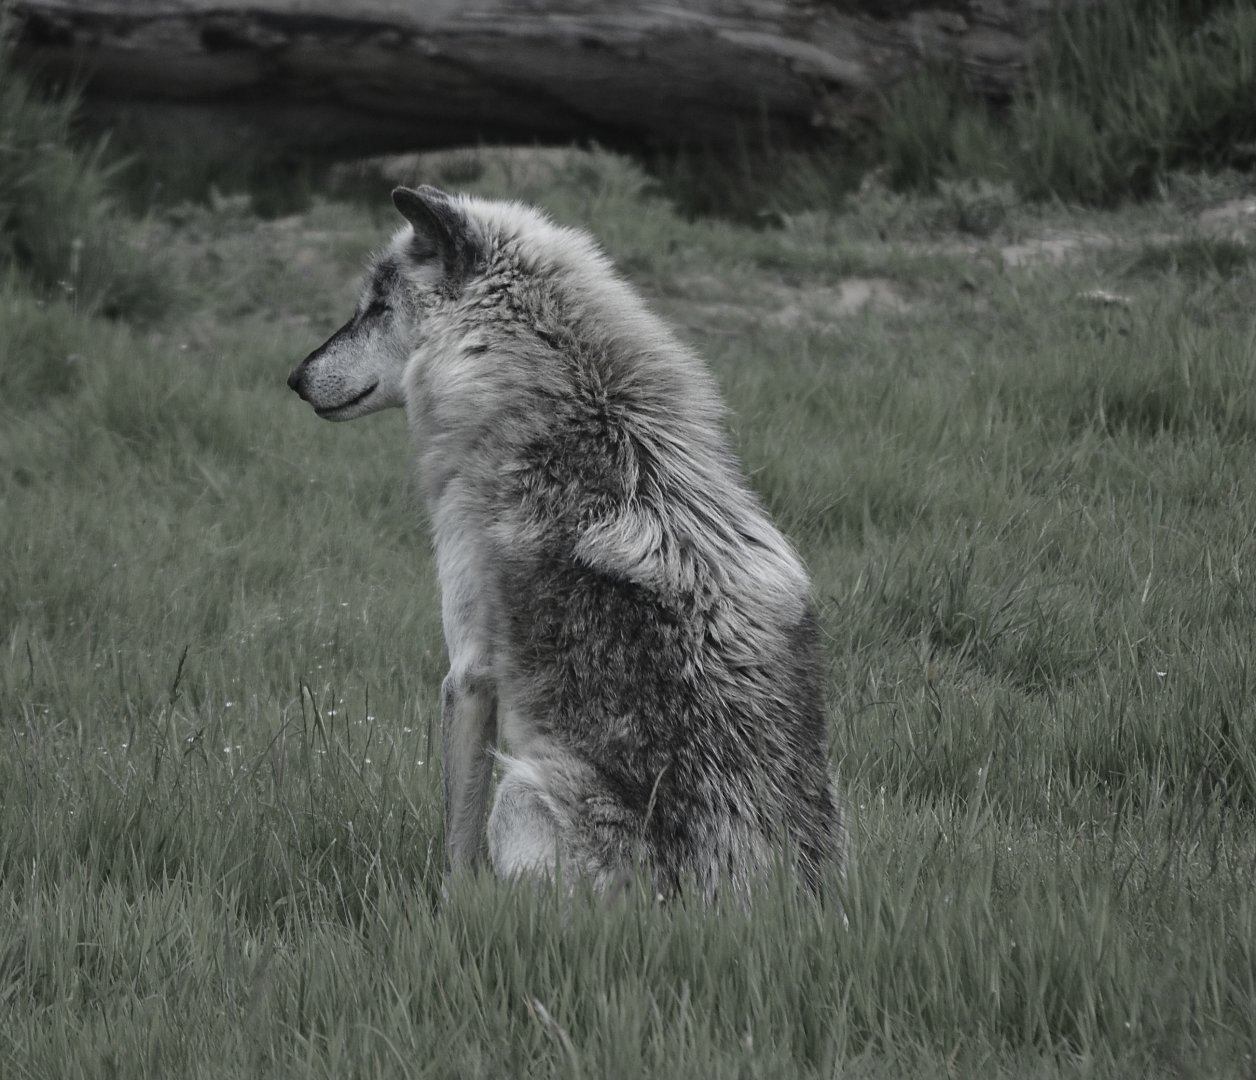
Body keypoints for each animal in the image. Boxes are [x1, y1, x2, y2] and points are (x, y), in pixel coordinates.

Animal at [287, 185, 846, 900]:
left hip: (521, 793)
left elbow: (456, 843)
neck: (574, 405)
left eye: (378, 308)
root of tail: (749, 898)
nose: (295, 378)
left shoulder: (469, 671)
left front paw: (449, 908)